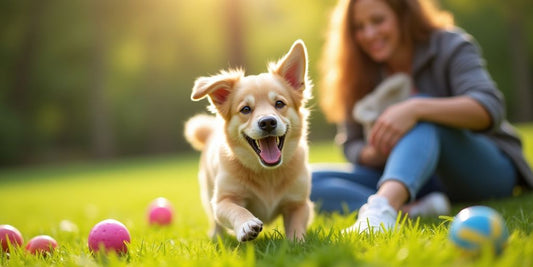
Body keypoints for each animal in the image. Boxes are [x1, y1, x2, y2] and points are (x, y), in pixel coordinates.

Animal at [185, 39, 314, 243]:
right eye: (245, 109)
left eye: (279, 104)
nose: (268, 122)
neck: (268, 173)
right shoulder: (222, 200)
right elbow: (235, 209)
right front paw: (246, 224)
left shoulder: (299, 203)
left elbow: (296, 225)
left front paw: (297, 243)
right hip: (208, 190)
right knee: (215, 221)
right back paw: (216, 235)